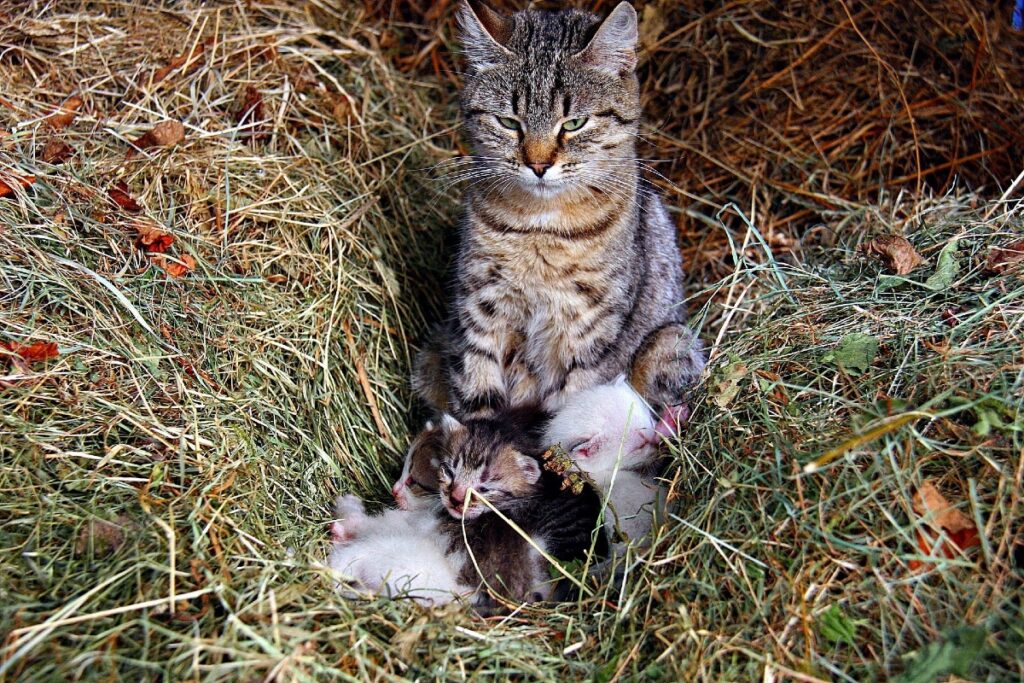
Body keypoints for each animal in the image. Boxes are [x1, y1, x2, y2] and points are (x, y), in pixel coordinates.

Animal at [409, 0, 704, 419]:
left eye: (575, 123)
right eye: (508, 122)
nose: (538, 164)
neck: (540, 228)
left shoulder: (590, 328)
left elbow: (571, 402)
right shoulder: (480, 309)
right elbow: (477, 397)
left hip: (671, 343)